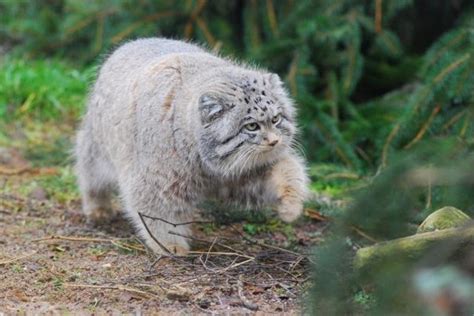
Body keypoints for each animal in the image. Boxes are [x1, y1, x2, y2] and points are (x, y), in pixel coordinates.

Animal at [76, 37, 310, 254]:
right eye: (251, 126)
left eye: (276, 119)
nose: (274, 141)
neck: (204, 161)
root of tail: (133, 42)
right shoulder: (155, 180)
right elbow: (157, 214)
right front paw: (169, 244)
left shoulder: (244, 174)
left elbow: (288, 171)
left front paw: (291, 205)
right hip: (97, 148)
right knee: (90, 175)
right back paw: (97, 206)